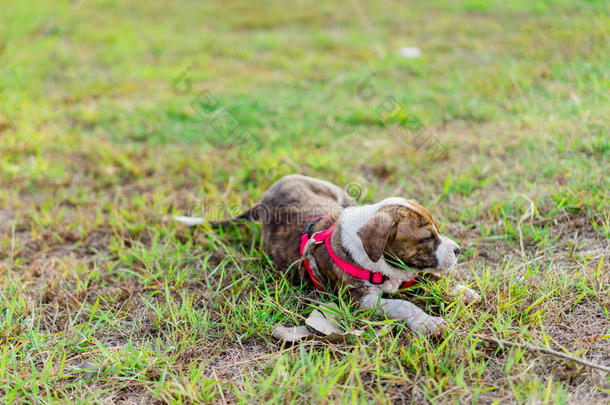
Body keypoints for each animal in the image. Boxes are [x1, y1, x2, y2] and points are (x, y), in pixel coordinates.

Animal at [176, 174, 480, 334]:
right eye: (427, 238)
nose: (458, 249)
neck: (382, 264)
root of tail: (263, 200)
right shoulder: (360, 300)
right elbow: (403, 304)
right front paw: (428, 322)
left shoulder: (408, 272)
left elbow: (429, 277)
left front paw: (461, 291)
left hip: (339, 193)